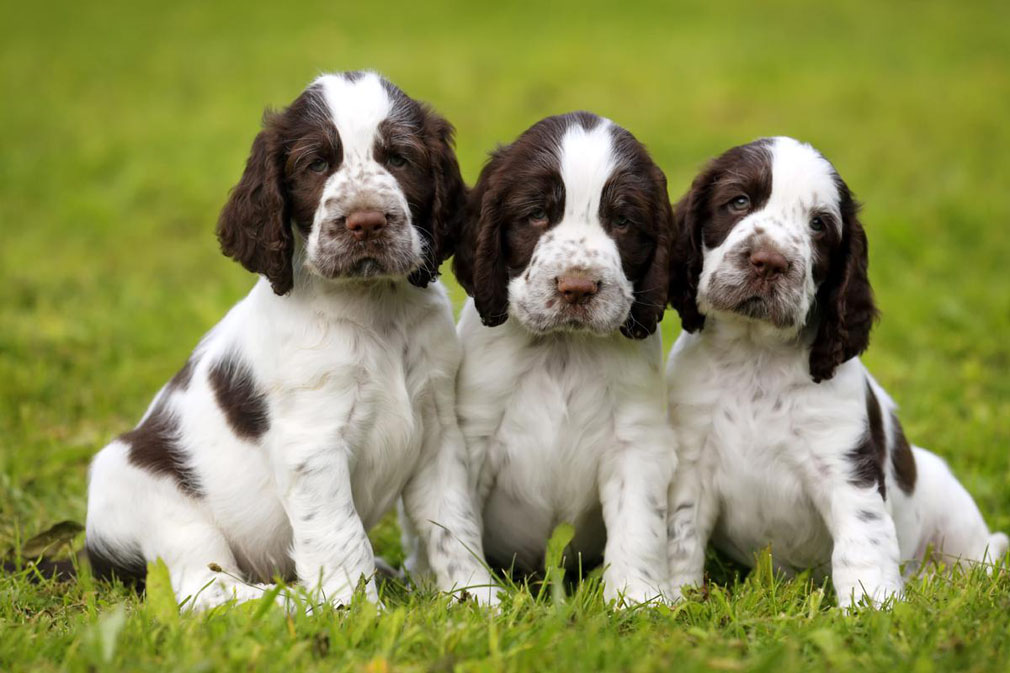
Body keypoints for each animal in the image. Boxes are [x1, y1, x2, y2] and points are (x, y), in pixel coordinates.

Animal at [85, 72, 496, 606]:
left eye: (400, 159)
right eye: (315, 163)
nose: (366, 222)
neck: (374, 310)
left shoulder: (437, 431)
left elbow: (451, 522)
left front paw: (479, 598)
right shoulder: (313, 443)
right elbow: (340, 534)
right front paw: (353, 610)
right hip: (164, 510)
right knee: (207, 590)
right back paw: (291, 601)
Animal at [666, 133, 1005, 606]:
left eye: (818, 226)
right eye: (738, 201)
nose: (769, 261)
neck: (755, 356)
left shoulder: (846, 468)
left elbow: (861, 543)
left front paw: (872, 609)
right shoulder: (691, 461)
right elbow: (681, 534)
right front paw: (672, 600)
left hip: (954, 513)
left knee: (982, 557)